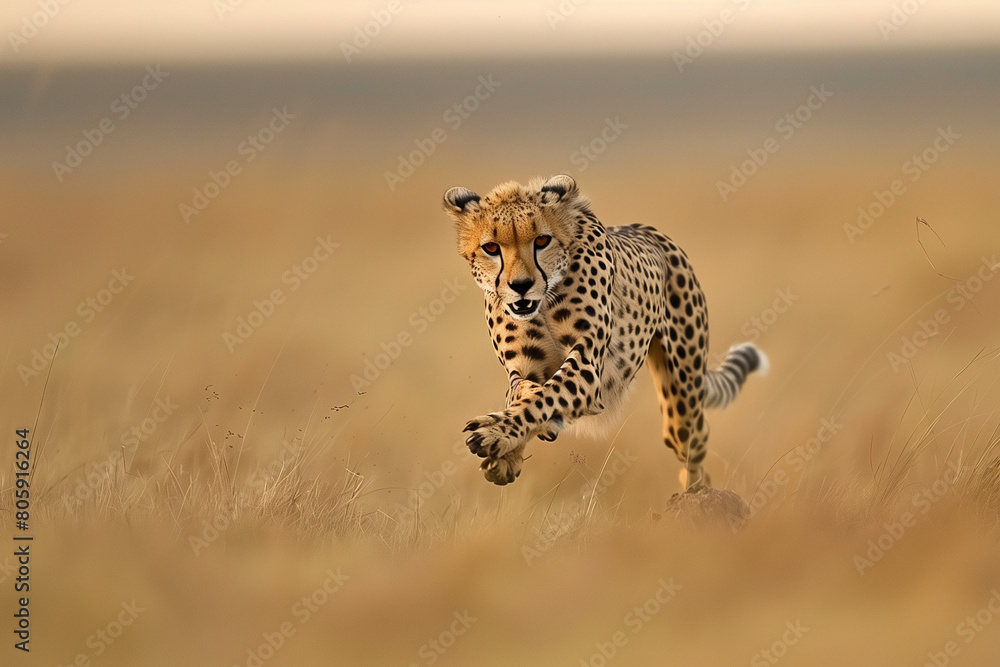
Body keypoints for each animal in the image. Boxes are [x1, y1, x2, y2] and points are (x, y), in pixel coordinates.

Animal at [442, 175, 767, 491]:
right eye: (491, 248)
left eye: (542, 240)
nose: (520, 285)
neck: (545, 298)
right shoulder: (524, 366)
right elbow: (526, 393)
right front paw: (509, 451)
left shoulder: (587, 365)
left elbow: (546, 395)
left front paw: (494, 433)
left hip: (683, 399)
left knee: (694, 448)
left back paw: (697, 493)